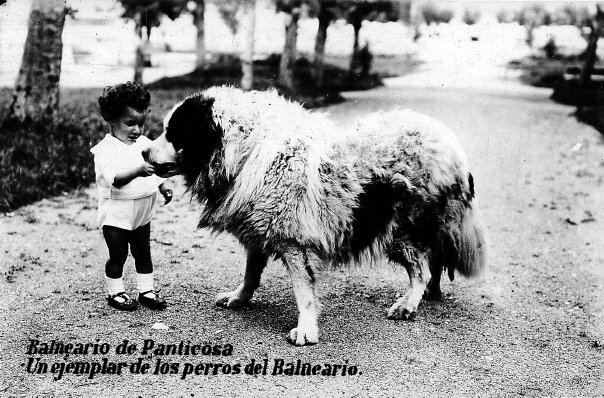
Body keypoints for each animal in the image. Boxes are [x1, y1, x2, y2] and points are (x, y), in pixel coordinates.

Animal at [143, 86, 486, 346]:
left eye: (173, 133)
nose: (144, 151)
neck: (246, 149)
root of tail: (452, 146)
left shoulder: (294, 241)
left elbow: (303, 291)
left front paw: (306, 330)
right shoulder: (262, 226)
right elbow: (251, 271)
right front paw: (240, 297)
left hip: (401, 228)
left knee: (422, 268)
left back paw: (408, 303)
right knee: (433, 261)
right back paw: (427, 294)